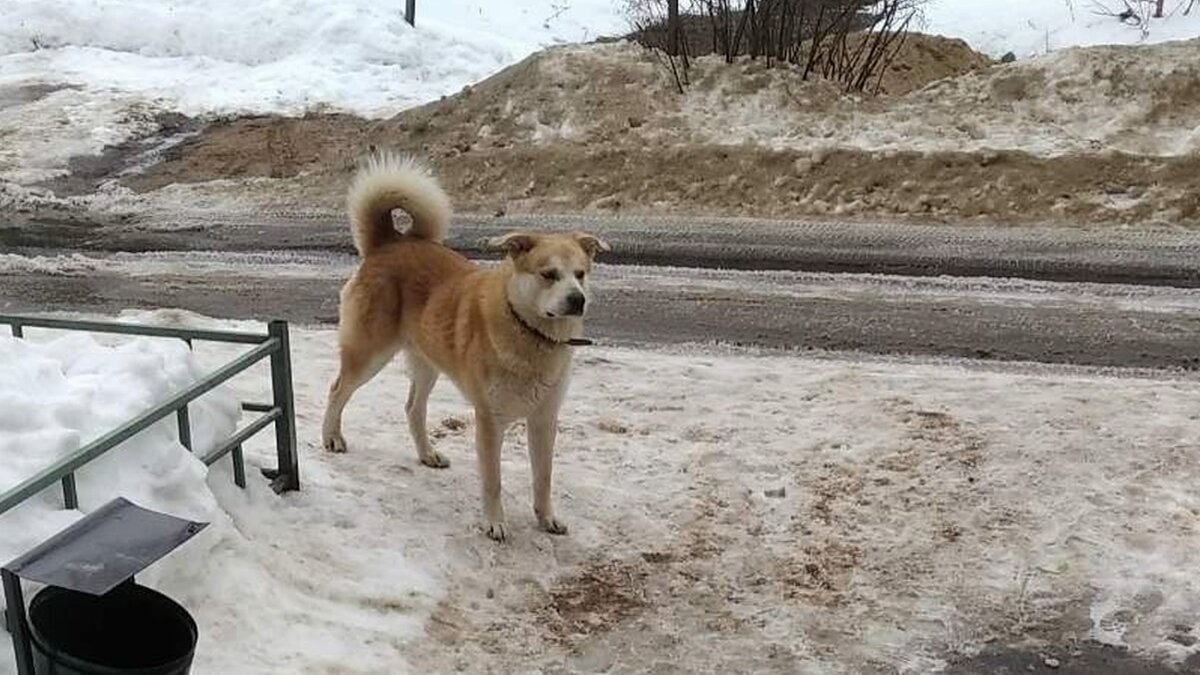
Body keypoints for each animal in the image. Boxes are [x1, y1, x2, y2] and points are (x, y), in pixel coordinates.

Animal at [321, 153, 609, 540]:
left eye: (580, 274)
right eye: (548, 274)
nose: (578, 300)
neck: (530, 332)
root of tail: (390, 242)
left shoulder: (544, 418)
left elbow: (543, 478)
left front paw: (546, 518)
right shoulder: (489, 420)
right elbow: (493, 480)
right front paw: (494, 522)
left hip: (426, 361)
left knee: (413, 408)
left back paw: (427, 454)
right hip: (369, 353)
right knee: (338, 389)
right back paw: (332, 437)